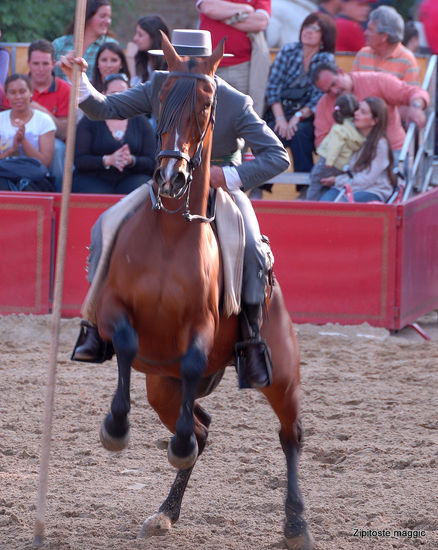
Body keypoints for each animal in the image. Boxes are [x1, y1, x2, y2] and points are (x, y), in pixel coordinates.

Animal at [94, 33, 314, 550]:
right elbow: (126, 342)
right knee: (202, 429)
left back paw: (296, 524)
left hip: (280, 374)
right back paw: (166, 509)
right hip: (161, 385)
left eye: (208, 103)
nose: (170, 177)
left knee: (290, 434)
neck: (171, 233)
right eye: (158, 98)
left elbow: (194, 359)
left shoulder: (202, 326)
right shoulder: (114, 310)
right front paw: (115, 427)